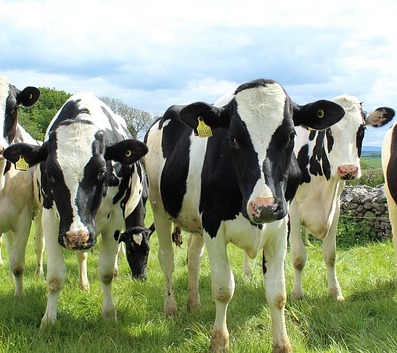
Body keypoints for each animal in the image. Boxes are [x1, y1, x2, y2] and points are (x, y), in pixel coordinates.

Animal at [2, 92, 148, 326]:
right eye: (50, 173)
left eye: (101, 171)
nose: (76, 236)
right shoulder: (51, 220)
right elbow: (55, 277)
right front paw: (48, 319)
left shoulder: (115, 220)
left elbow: (106, 272)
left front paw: (109, 314)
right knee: (81, 255)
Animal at [143, 79, 344, 352]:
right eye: (233, 139)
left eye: (290, 136)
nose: (264, 207)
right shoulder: (213, 225)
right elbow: (223, 288)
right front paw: (219, 340)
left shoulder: (281, 227)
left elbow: (277, 293)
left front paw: (282, 344)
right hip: (158, 205)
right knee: (167, 259)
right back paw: (171, 308)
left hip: (195, 221)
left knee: (193, 258)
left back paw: (194, 303)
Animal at [288, 95, 392, 300]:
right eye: (328, 130)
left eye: (362, 129)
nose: (347, 169)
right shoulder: (293, 210)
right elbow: (298, 257)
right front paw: (296, 294)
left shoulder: (335, 208)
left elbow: (330, 254)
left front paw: (335, 292)